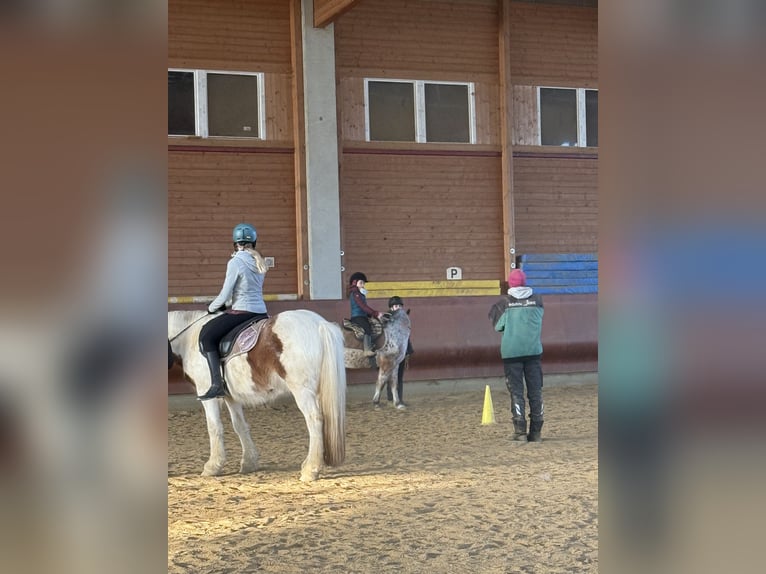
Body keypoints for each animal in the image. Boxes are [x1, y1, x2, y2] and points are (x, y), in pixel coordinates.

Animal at [170, 310, 348, 482]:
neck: (188, 338)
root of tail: (320, 324)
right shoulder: (231, 397)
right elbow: (239, 425)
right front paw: (249, 462)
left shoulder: (207, 394)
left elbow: (214, 427)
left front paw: (212, 466)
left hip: (302, 390)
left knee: (314, 420)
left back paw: (311, 470)